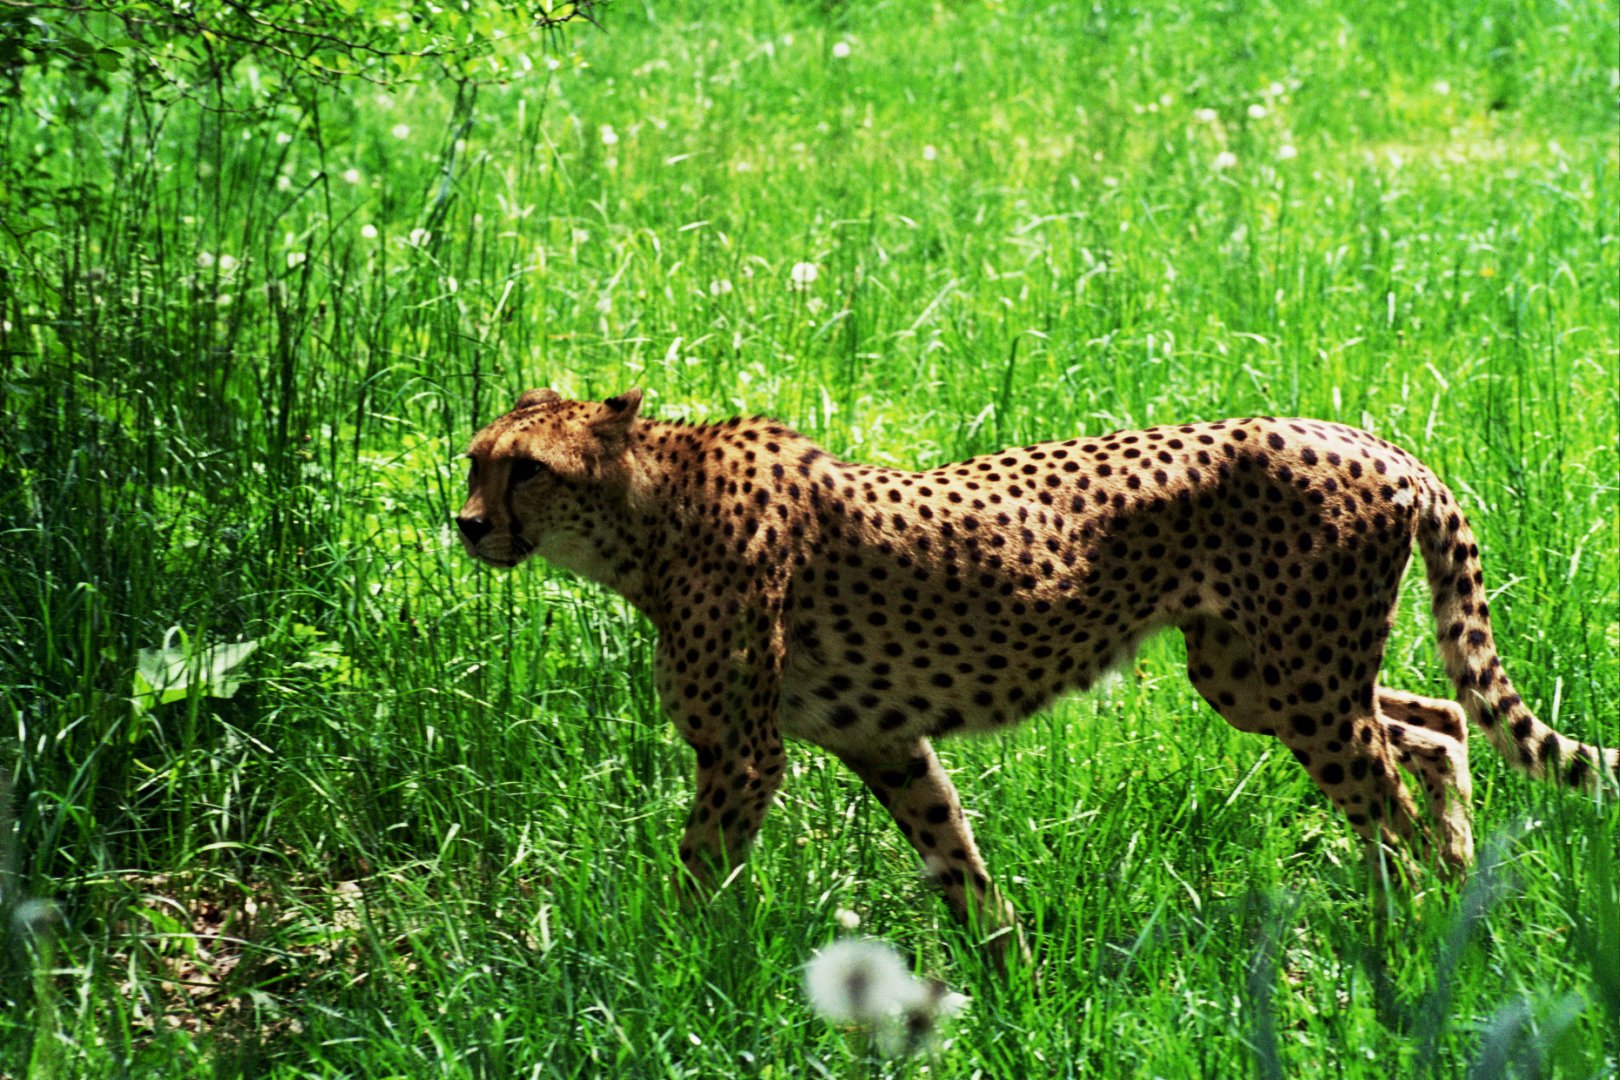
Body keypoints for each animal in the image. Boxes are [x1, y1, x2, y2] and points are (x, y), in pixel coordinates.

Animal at [456, 387, 1618, 966]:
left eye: (528, 470)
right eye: (475, 458)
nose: (465, 524)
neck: (640, 516)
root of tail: (1373, 442)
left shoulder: (742, 754)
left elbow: (698, 879)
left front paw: (664, 970)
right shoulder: (882, 738)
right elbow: (955, 858)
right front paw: (1005, 975)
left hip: (1300, 685)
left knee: (1393, 802)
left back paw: (1417, 930)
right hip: (1259, 678)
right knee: (1439, 725)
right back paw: (1457, 890)